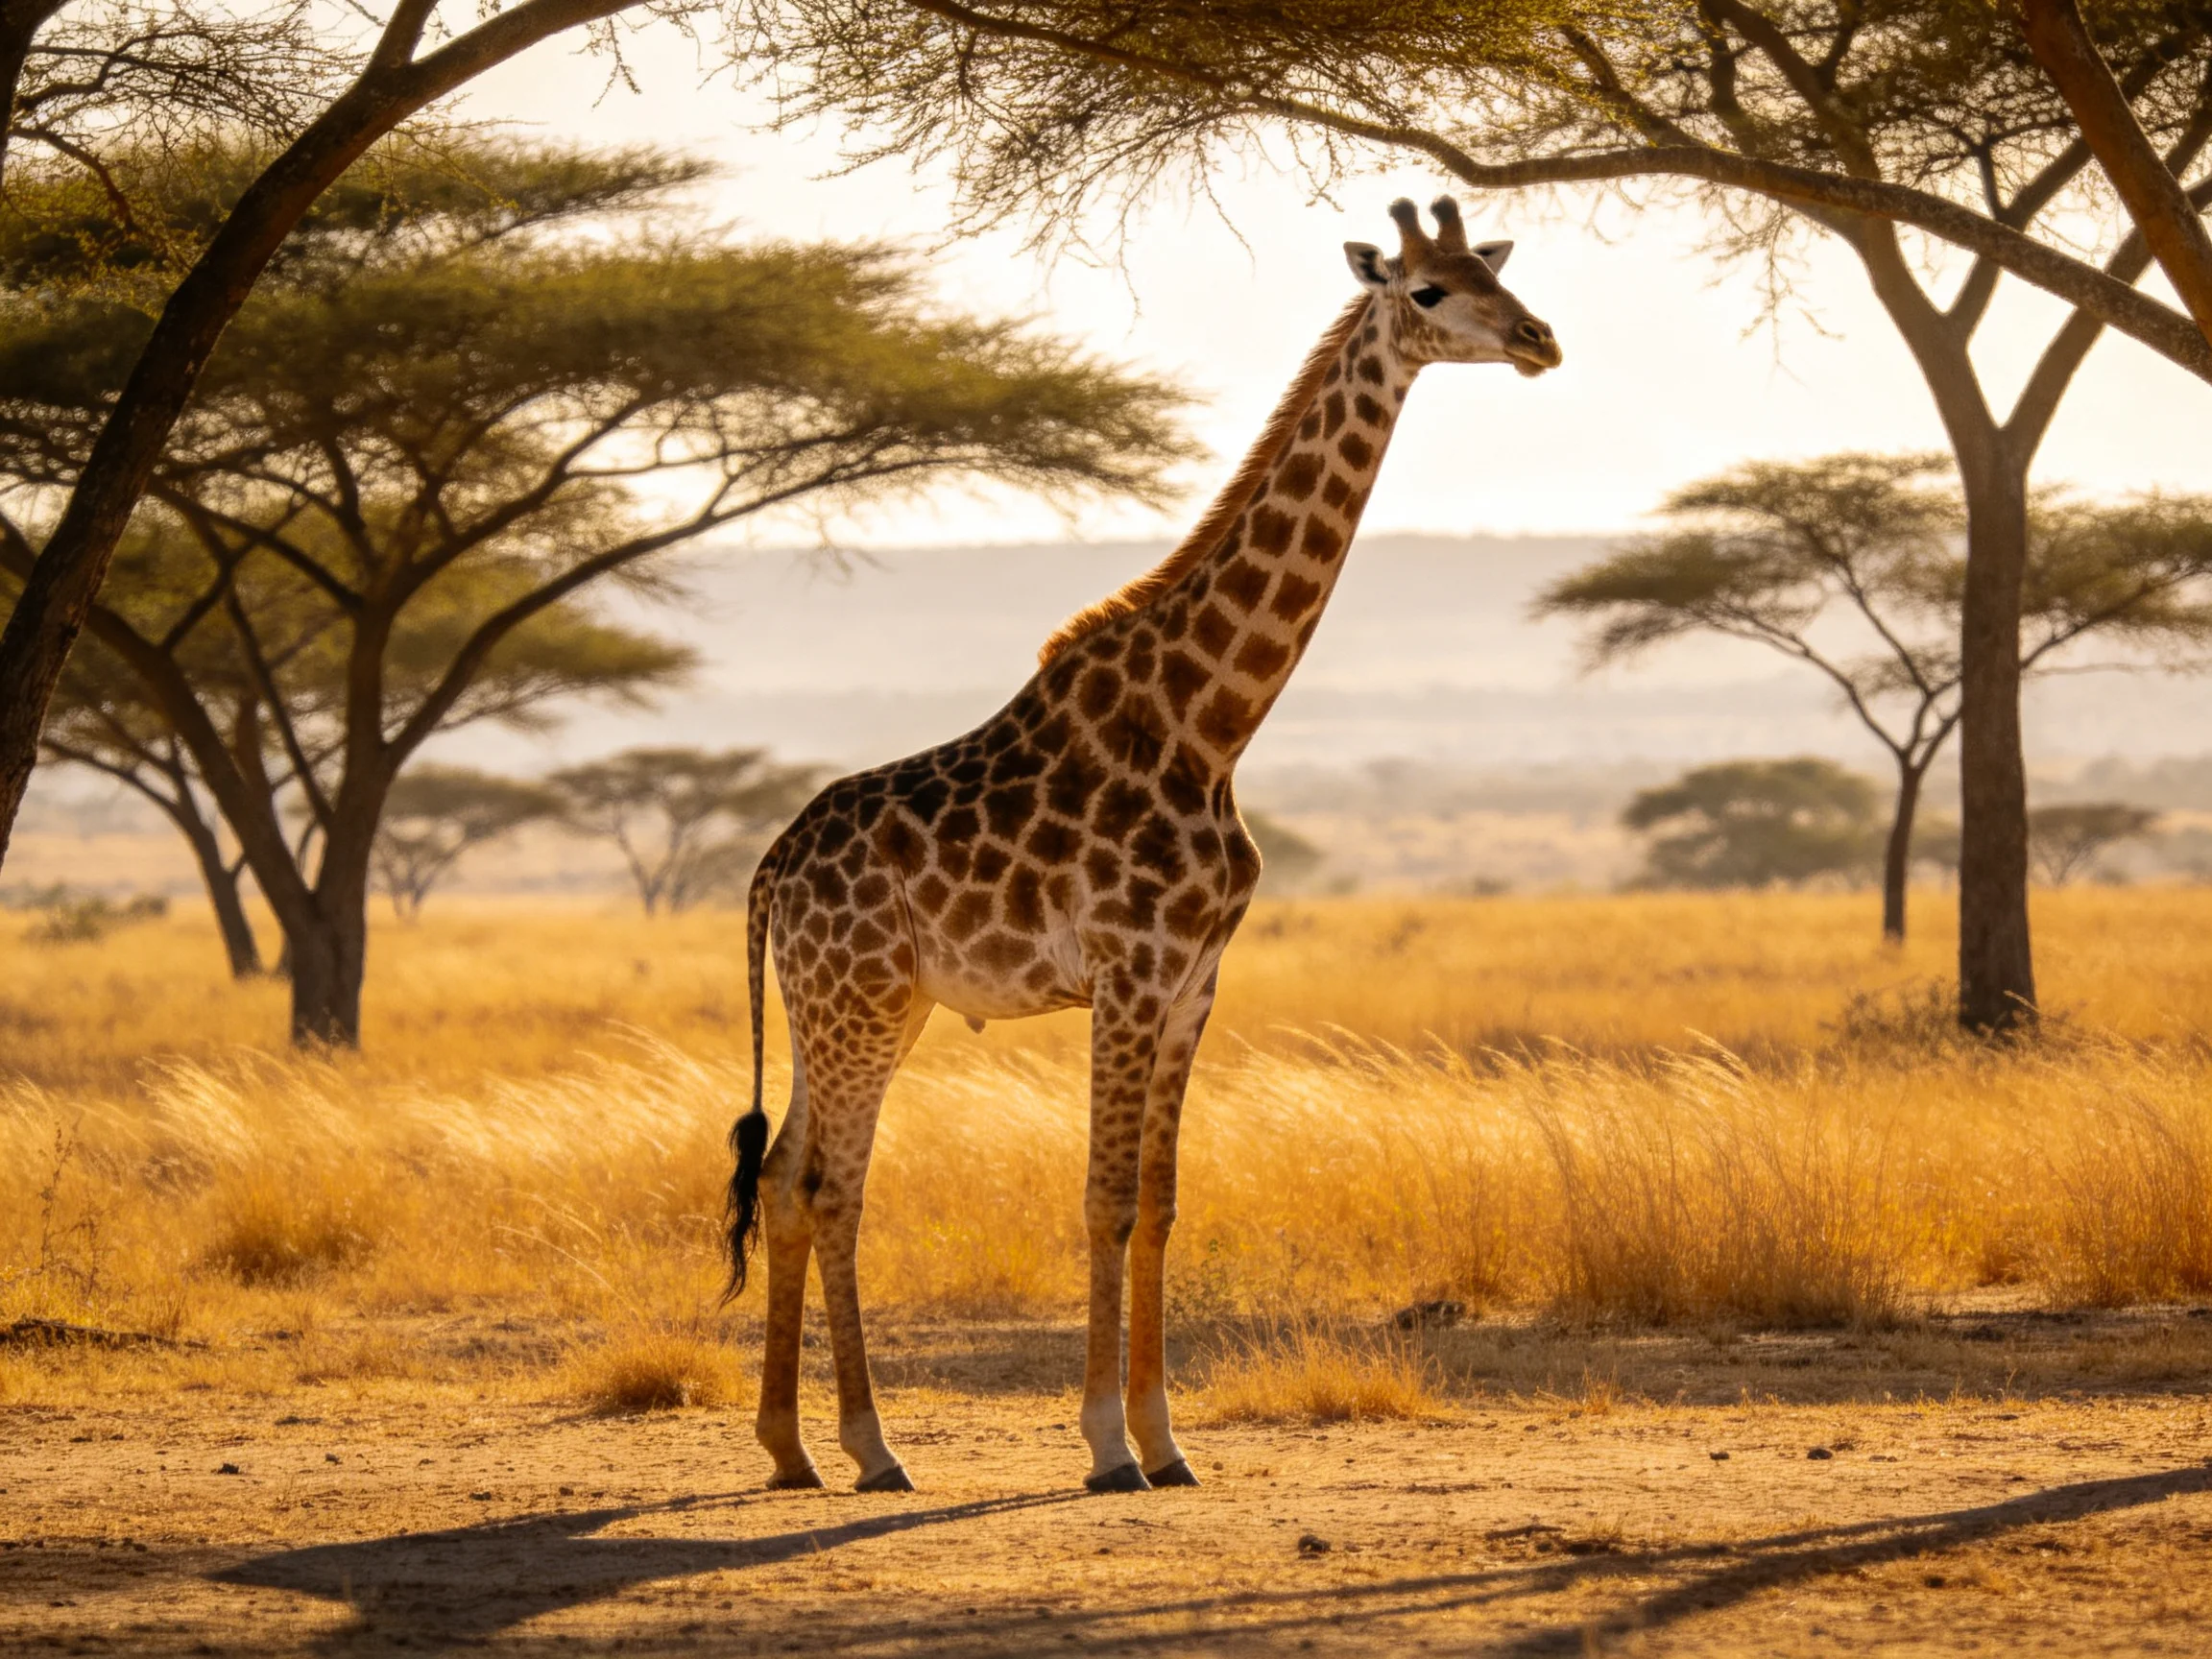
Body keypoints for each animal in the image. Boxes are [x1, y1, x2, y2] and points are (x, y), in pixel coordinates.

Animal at [723, 196, 1561, 1495]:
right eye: (1427, 289)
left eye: (1493, 272)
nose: (1538, 340)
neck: (1207, 724)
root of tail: (772, 868)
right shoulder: (1128, 970)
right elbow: (1103, 1200)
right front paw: (1108, 1445)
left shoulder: (1195, 979)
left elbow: (1161, 1202)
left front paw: (1169, 1443)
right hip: (854, 1001)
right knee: (831, 1185)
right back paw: (872, 1447)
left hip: (864, 1006)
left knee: (786, 1180)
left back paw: (791, 1447)